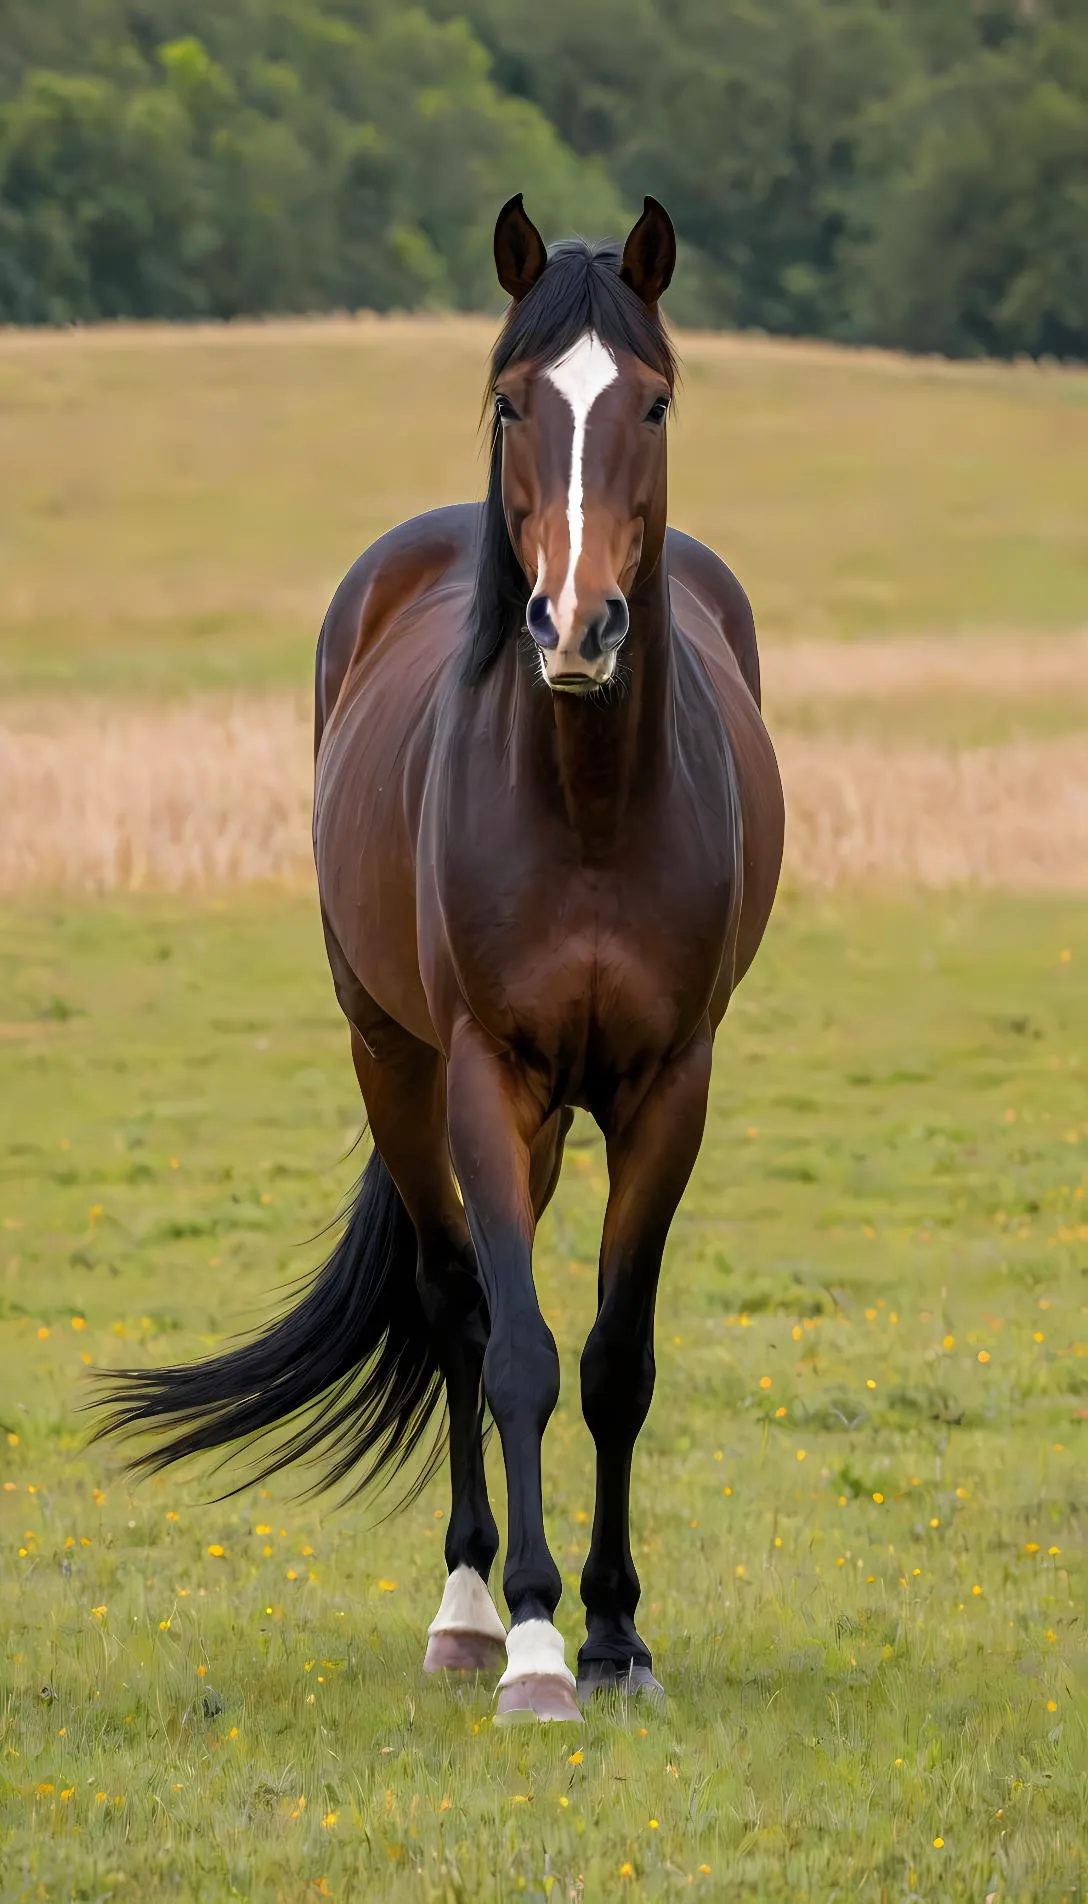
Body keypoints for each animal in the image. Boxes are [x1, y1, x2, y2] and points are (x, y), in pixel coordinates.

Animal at [95, 197, 785, 1728]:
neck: (587, 805)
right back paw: (468, 1611)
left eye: (653, 401)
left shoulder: (672, 1086)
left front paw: (617, 1634)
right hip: (398, 1065)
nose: (575, 628)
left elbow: (616, 1360)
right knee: (455, 1304)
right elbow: (512, 1345)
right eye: (511, 400)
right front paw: (534, 1643)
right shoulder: (482, 1069)